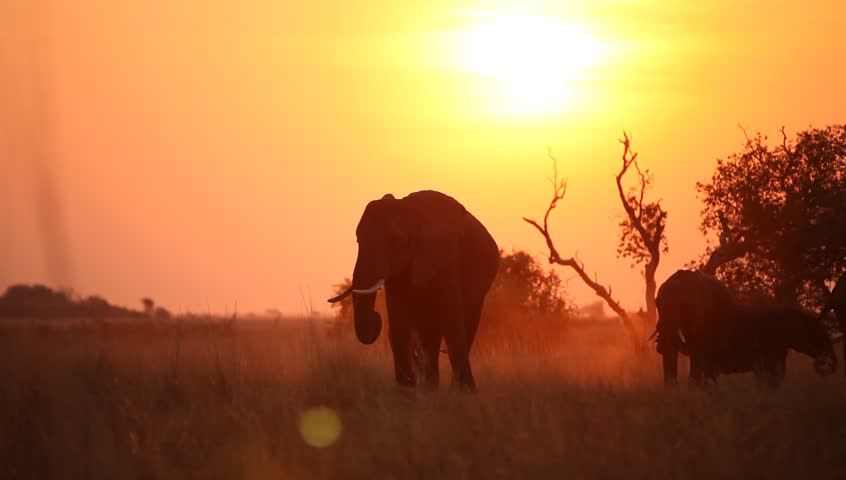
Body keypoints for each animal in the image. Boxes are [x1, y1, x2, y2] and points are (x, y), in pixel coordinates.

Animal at [327, 190, 499, 392]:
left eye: (394, 241)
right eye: (358, 239)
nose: (377, 317)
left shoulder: (446, 260)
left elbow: (452, 320)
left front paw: (464, 394)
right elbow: (398, 320)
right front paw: (406, 391)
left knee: (466, 325)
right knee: (429, 334)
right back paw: (430, 390)